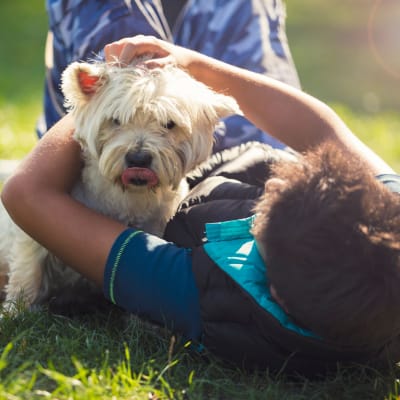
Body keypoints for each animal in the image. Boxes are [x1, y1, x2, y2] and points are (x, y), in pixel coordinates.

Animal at [0, 61, 239, 314]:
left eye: (169, 124)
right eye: (115, 120)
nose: (138, 158)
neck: (129, 196)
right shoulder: (32, 234)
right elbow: (28, 270)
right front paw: (16, 312)